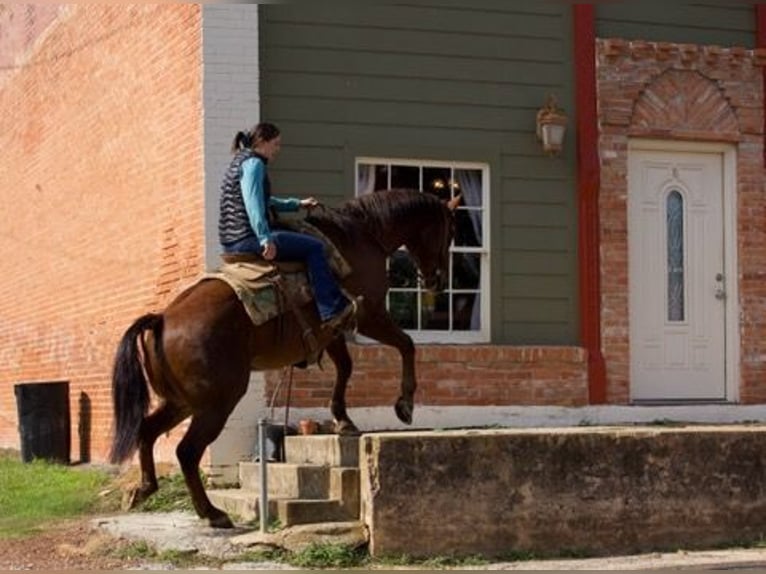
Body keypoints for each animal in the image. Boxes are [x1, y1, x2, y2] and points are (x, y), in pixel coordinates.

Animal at [110, 187, 460, 528]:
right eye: (451, 231)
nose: (438, 281)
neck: (362, 235)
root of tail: (162, 320)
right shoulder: (368, 315)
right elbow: (406, 345)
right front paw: (405, 405)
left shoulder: (332, 330)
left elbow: (346, 367)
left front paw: (343, 419)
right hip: (216, 404)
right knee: (187, 451)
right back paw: (212, 512)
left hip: (181, 403)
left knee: (147, 431)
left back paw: (144, 489)